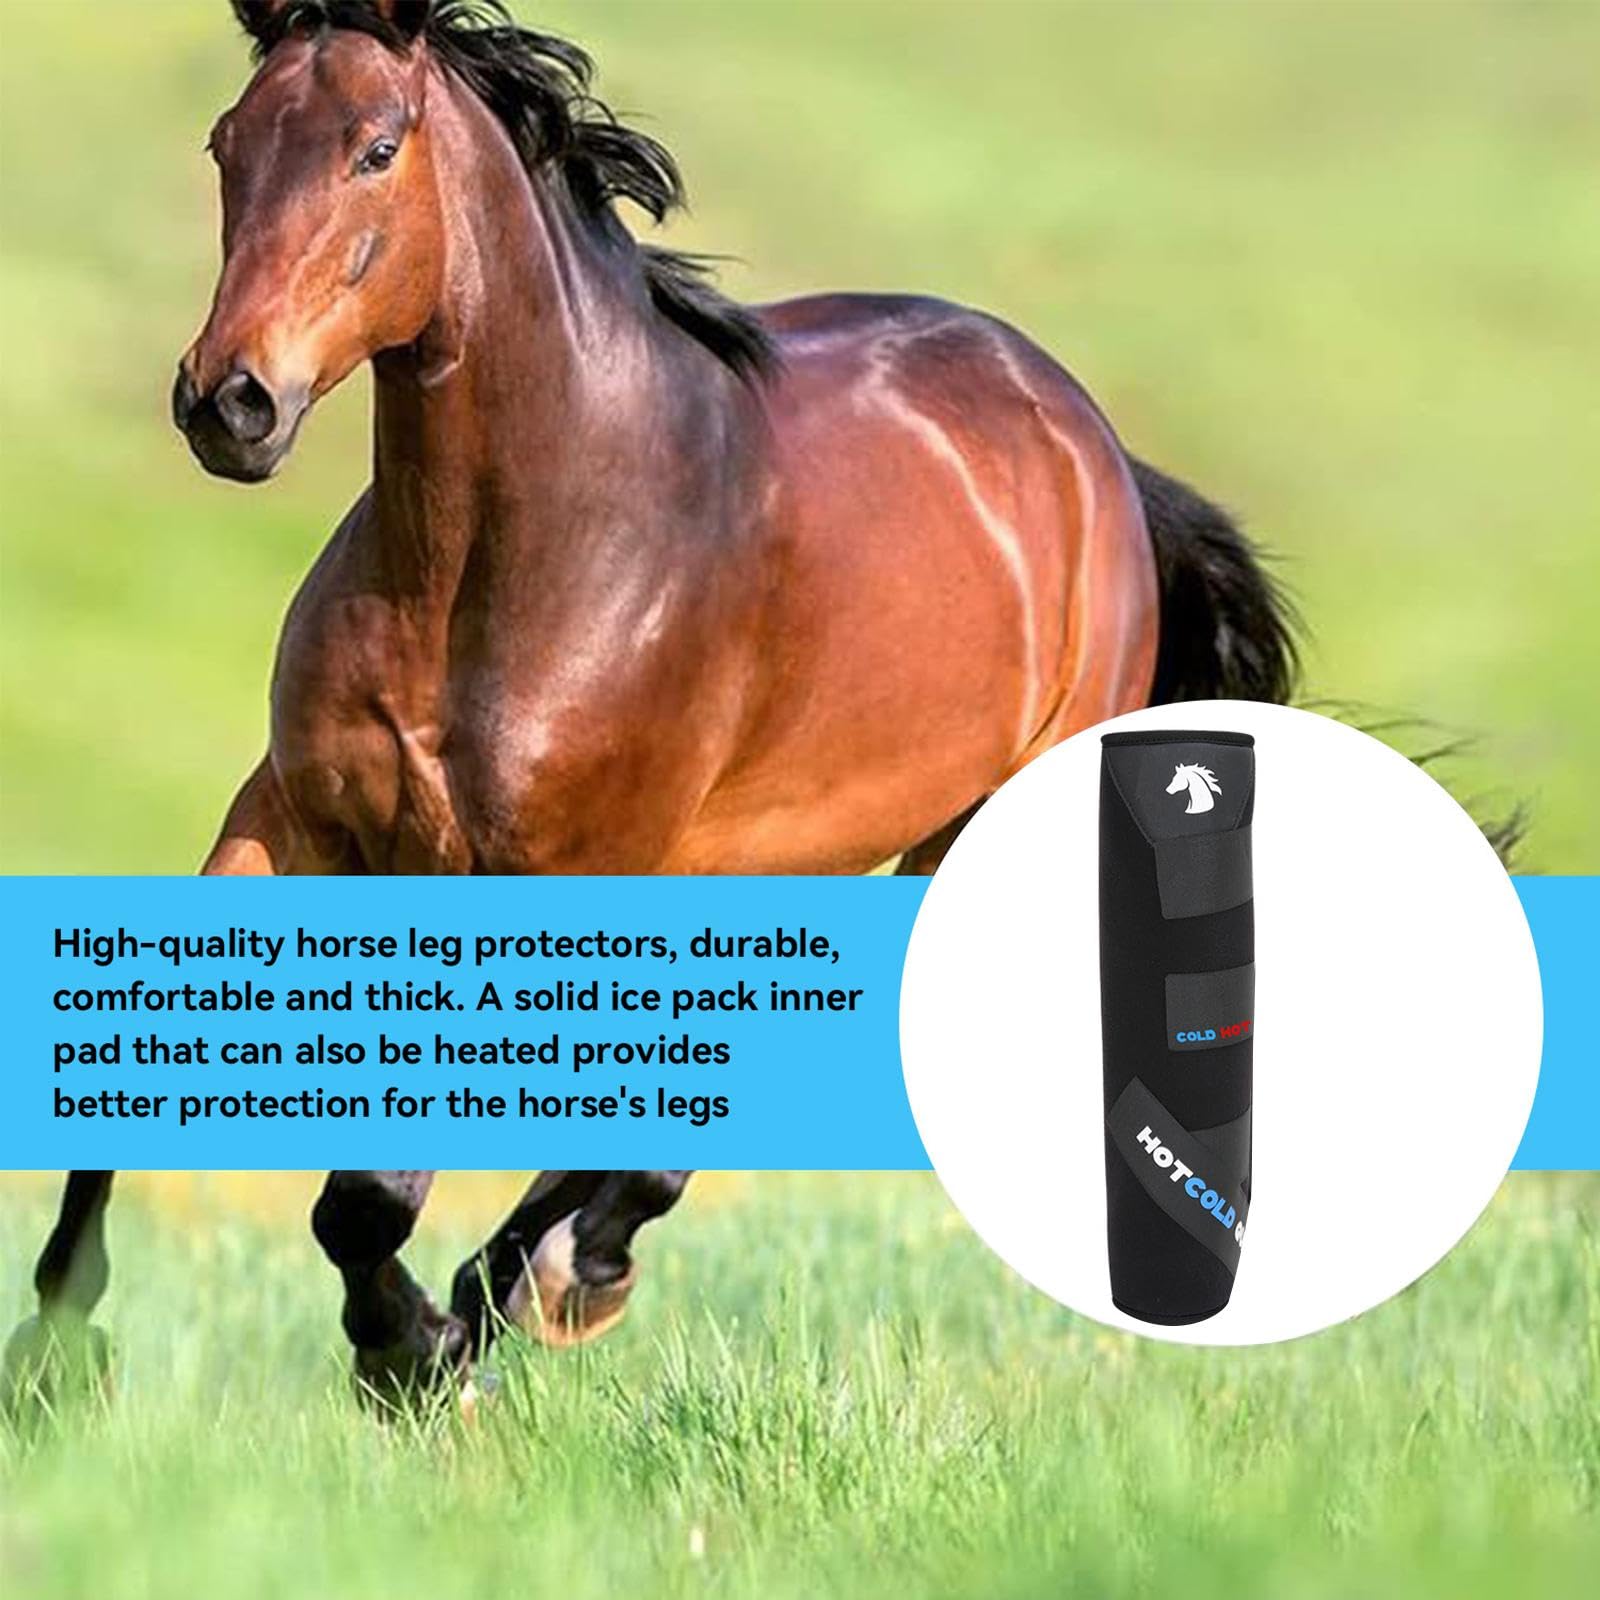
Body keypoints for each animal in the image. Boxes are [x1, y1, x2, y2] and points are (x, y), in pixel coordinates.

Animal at [7, 0, 1296, 1411]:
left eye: (376, 148)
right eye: (227, 143)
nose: (228, 402)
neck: (504, 561)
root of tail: (1091, 449)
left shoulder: (555, 873)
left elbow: (371, 1196)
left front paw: (410, 1347)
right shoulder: (300, 820)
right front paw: (53, 1354)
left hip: (947, 838)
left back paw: (546, 1281)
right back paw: (545, 1278)